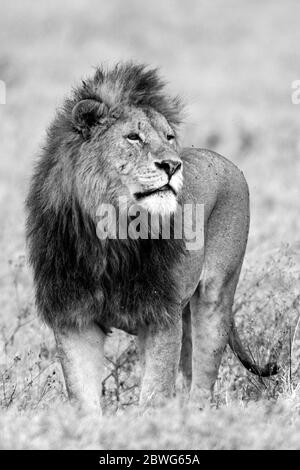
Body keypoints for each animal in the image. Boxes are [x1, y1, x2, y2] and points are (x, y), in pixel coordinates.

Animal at [25, 62, 276, 412]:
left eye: (169, 137)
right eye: (133, 137)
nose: (172, 164)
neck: (112, 234)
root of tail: (226, 161)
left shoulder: (160, 315)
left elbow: (155, 394)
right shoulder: (74, 318)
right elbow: (84, 400)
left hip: (215, 295)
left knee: (202, 379)